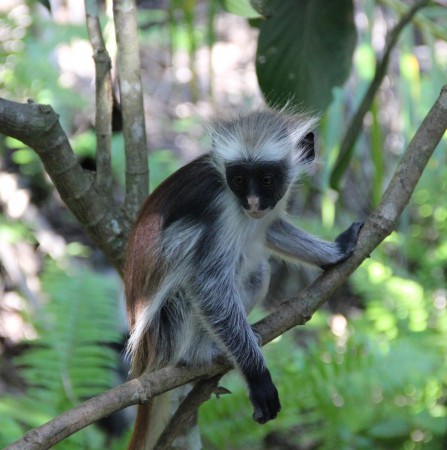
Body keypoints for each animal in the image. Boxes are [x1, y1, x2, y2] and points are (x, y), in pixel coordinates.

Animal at [124, 110, 362, 450]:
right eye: (237, 179)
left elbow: (271, 228)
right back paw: (197, 355)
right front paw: (257, 376)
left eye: (266, 179)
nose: (251, 202)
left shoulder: (269, 207)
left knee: (258, 272)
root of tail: (146, 360)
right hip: (167, 329)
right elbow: (208, 283)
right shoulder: (221, 208)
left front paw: (336, 252)